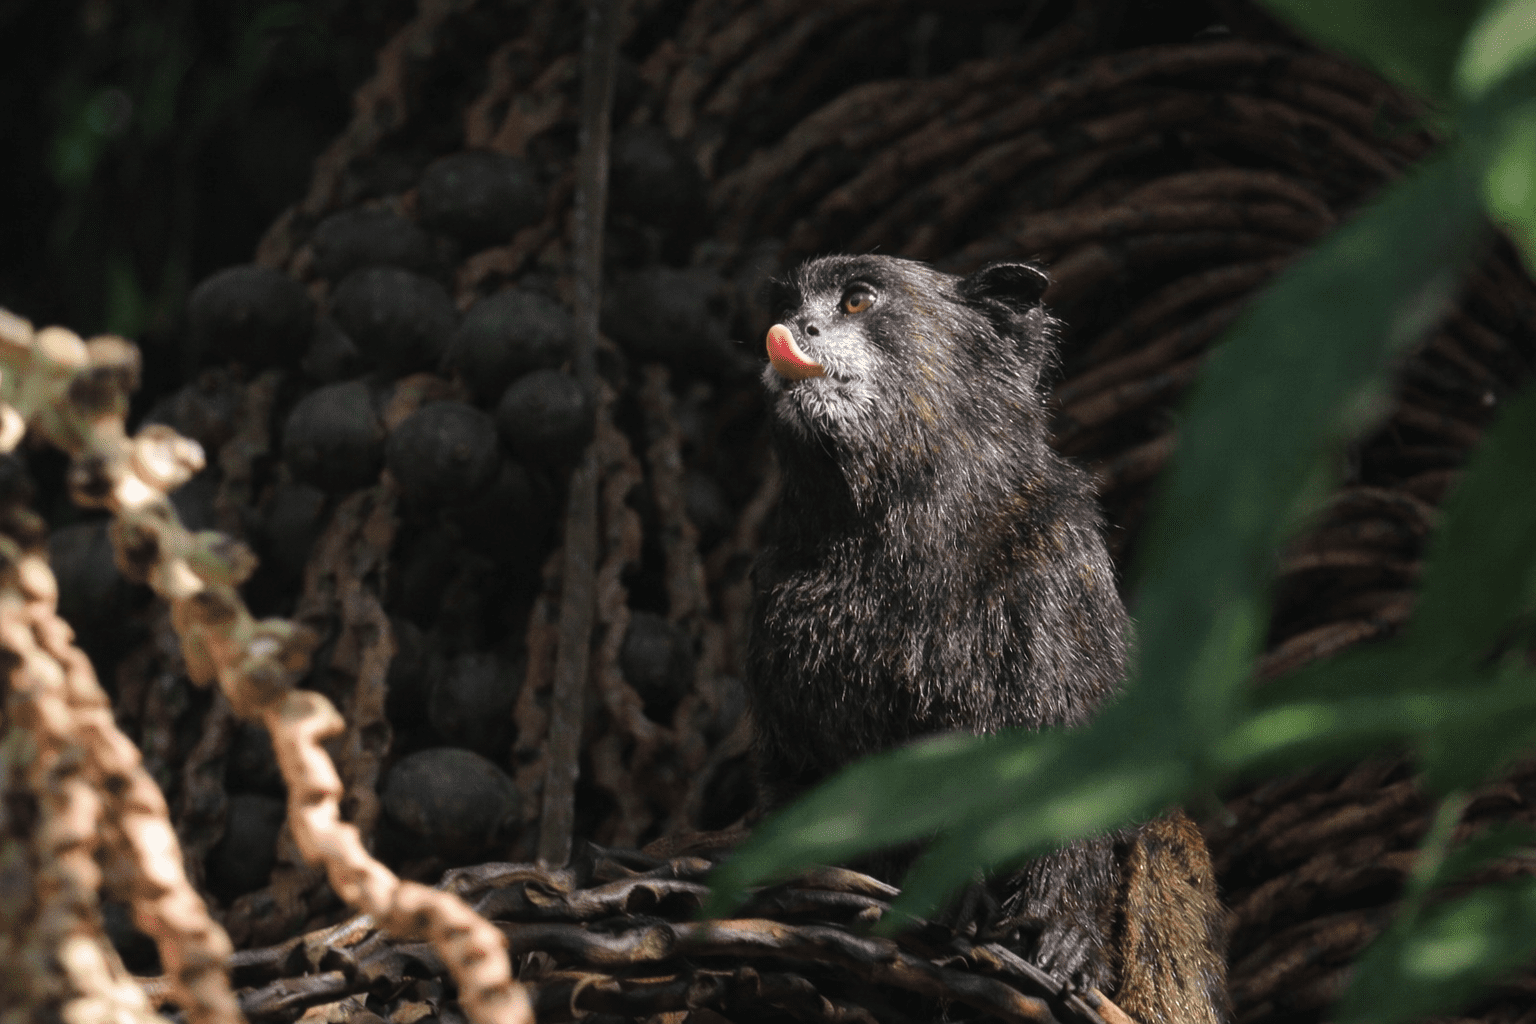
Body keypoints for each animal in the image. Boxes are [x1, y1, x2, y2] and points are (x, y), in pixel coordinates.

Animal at [745, 254, 1228, 1024]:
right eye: (788, 306)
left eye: (856, 301)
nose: (793, 331)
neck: (902, 531)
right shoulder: (777, 610)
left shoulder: (1059, 565)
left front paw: (1064, 932)